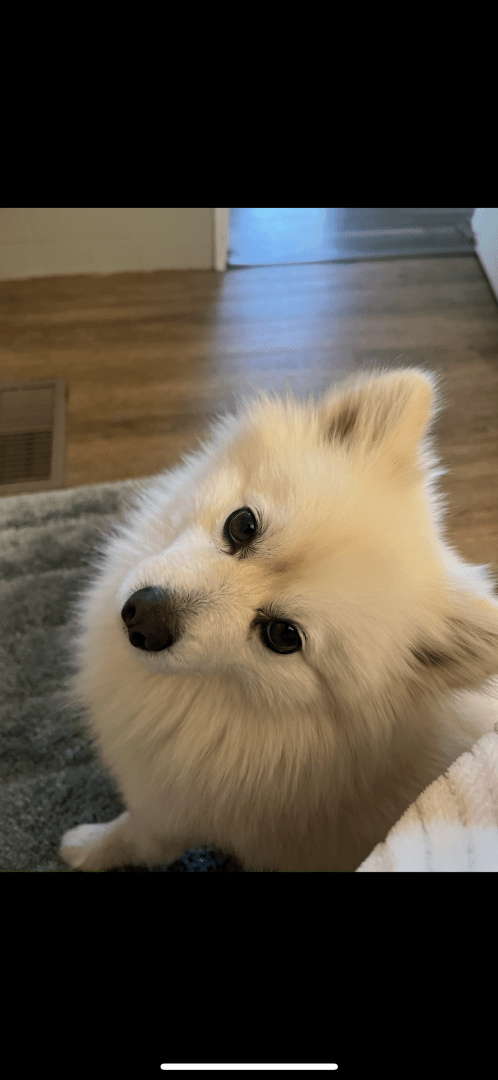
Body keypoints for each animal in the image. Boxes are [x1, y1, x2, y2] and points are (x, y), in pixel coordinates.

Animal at [60, 366, 498, 871]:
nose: (144, 619)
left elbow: (128, 837)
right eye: (242, 524)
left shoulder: (168, 819)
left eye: (283, 635)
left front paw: (82, 846)